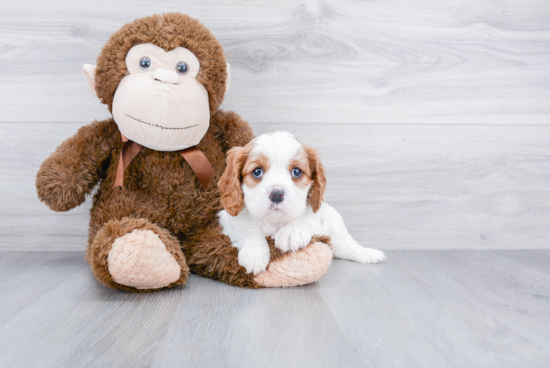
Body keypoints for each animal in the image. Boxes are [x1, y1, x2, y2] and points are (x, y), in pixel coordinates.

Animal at [218, 130, 386, 274]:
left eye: (296, 171)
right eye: (257, 171)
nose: (277, 194)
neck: (275, 221)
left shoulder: (315, 214)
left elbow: (306, 218)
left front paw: (291, 233)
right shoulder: (230, 222)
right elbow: (249, 230)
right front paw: (254, 253)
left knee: (346, 246)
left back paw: (368, 254)